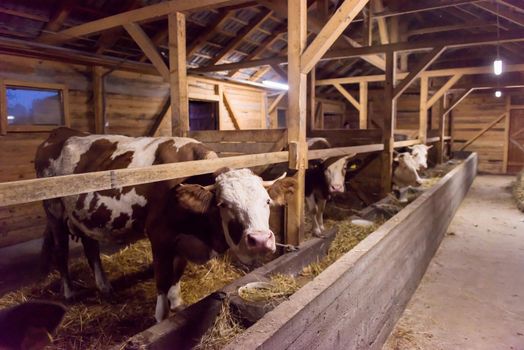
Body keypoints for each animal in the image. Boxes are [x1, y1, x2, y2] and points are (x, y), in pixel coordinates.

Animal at [35, 127, 298, 322]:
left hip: (84, 217)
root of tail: (59, 132)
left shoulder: (181, 240)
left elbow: (177, 273)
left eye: (267, 201)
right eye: (223, 204)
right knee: (61, 251)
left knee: (91, 249)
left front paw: (178, 303)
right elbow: (162, 279)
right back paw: (69, 292)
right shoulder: (159, 236)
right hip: (54, 211)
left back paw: (104, 286)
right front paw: (162, 317)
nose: (260, 240)